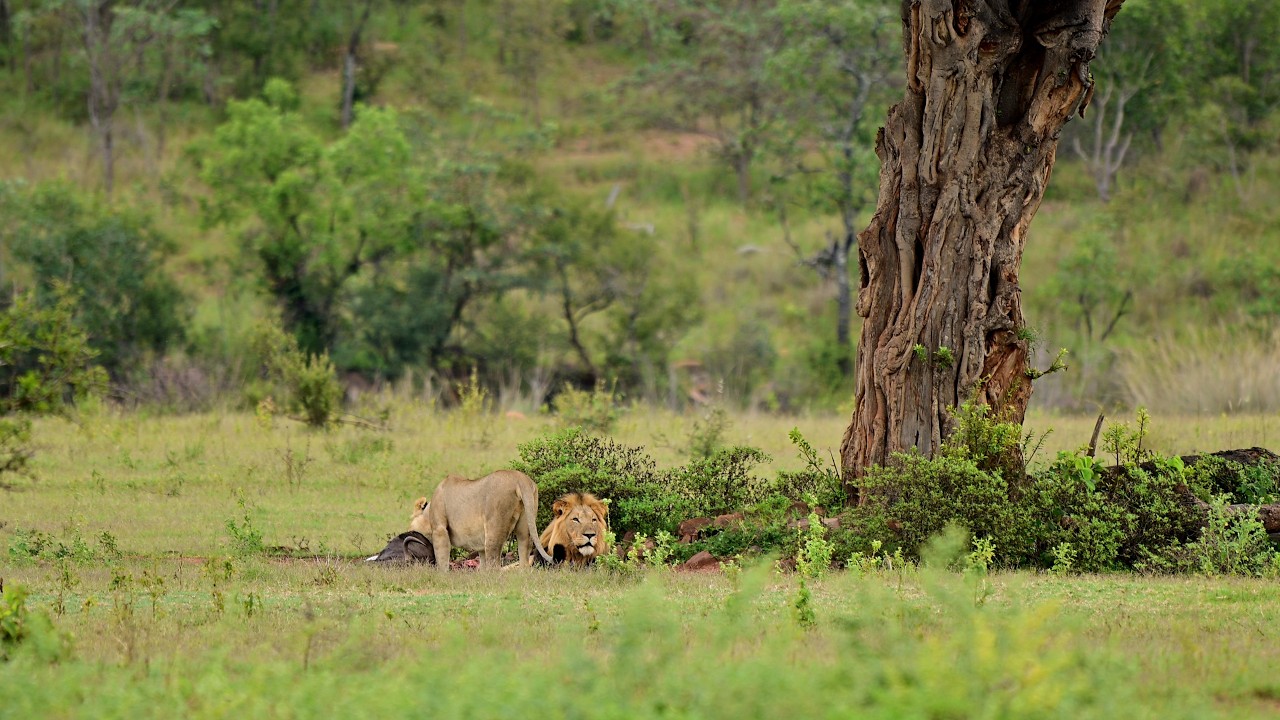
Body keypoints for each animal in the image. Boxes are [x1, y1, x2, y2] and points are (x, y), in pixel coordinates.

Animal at [423, 470, 554, 570]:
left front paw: (443, 575)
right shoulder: (479, 542)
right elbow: (482, 559)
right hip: (525, 521)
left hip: (494, 526)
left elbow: (441, 557)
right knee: (524, 547)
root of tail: (520, 478)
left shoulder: (439, 528)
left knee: (495, 563)